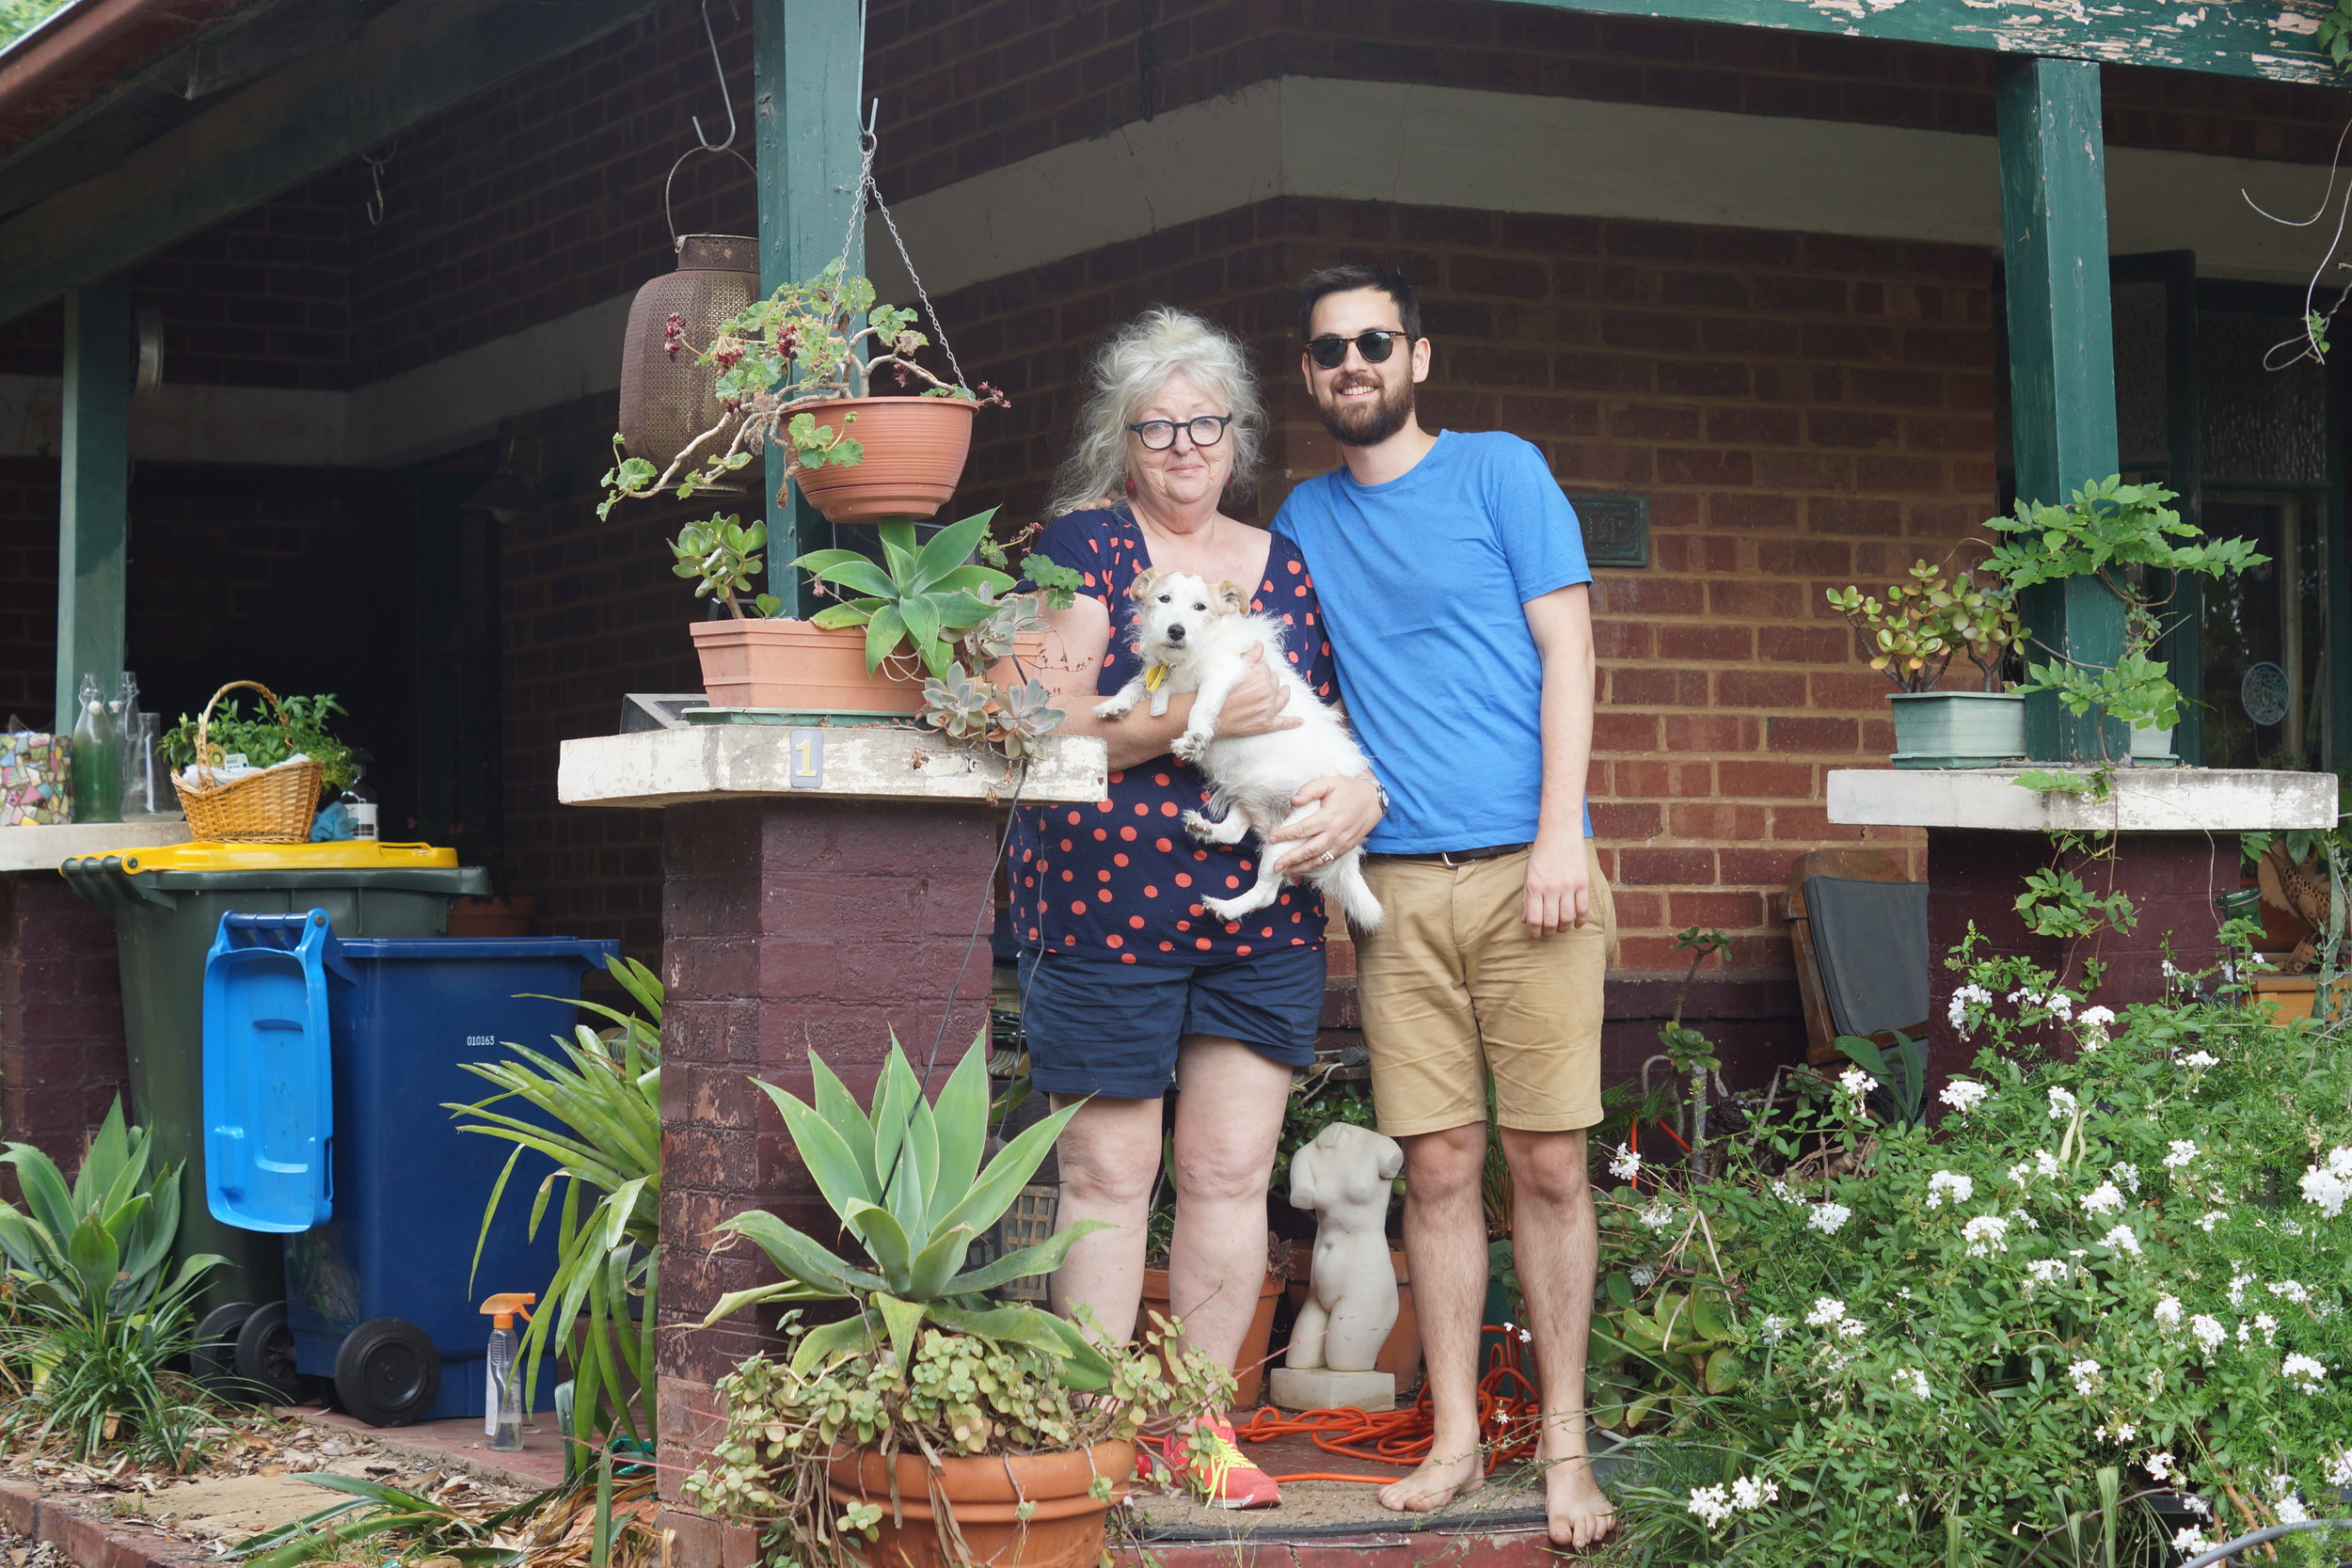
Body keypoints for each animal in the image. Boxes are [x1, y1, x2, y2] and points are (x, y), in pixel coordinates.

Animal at [1096, 571, 1383, 930]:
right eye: (1163, 599)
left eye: (1201, 607)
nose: (1176, 631)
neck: (1186, 659)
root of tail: (1350, 856)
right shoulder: (1159, 683)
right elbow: (1136, 686)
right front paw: (1115, 706)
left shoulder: (1225, 673)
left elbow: (1201, 705)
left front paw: (1194, 738)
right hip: (1249, 795)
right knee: (1233, 832)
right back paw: (1206, 829)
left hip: (1291, 838)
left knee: (1266, 893)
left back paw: (1226, 908)